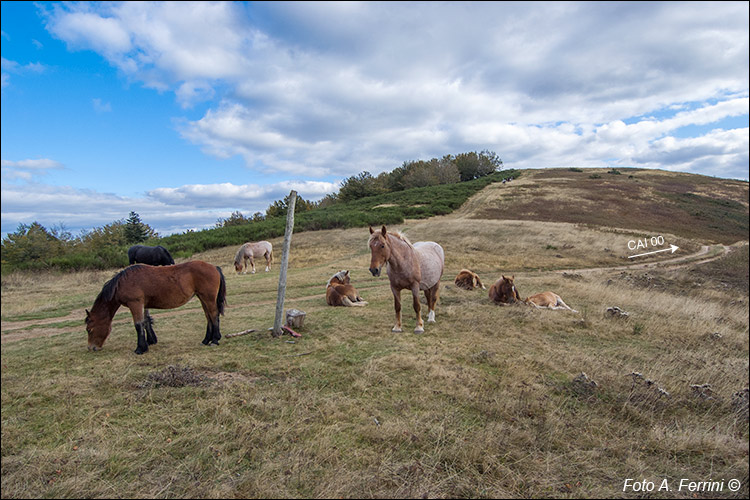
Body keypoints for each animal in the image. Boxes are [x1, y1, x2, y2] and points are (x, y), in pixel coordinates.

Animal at [85, 260, 226, 354]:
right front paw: (150, 341)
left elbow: (138, 325)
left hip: (208, 298)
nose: (91, 348)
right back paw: (206, 340)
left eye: (89, 329)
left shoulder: (135, 303)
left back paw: (215, 340)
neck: (122, 283)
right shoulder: (143, 304)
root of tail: (214, 267)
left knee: (214, 314)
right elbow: (146, 321)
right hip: (202, 297)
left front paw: (140, 348)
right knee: (208, 316)